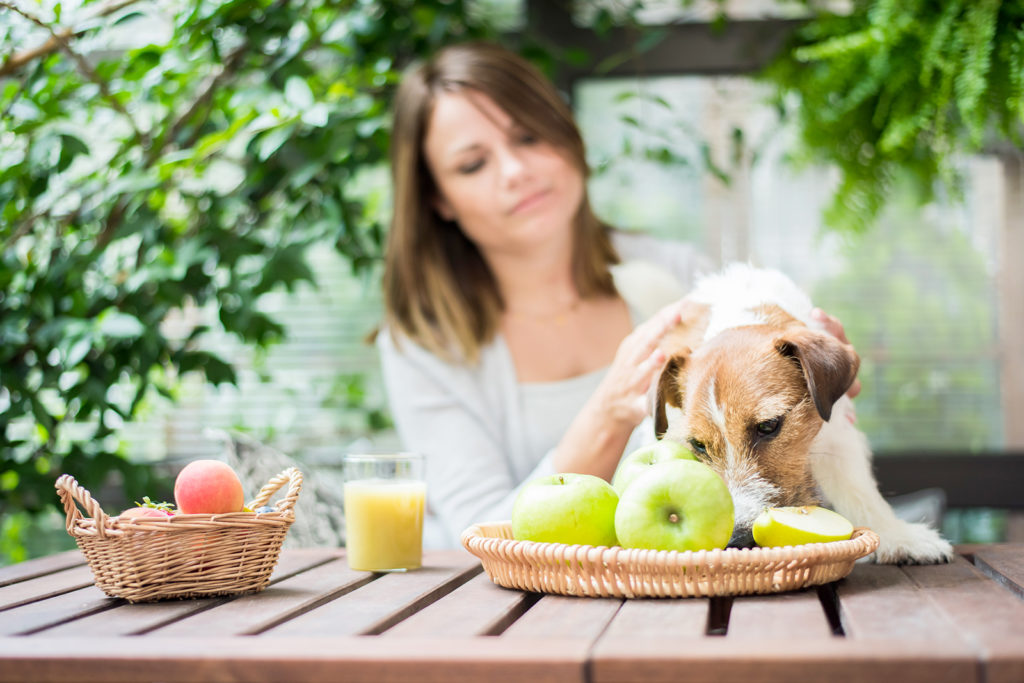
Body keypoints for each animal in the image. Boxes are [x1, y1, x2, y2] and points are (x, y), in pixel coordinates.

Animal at [651, 264, 954, 565]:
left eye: (769, 426)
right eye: (698, 445)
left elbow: (860, 490)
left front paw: (901, 538)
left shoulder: (837, 433)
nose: (736, 540)